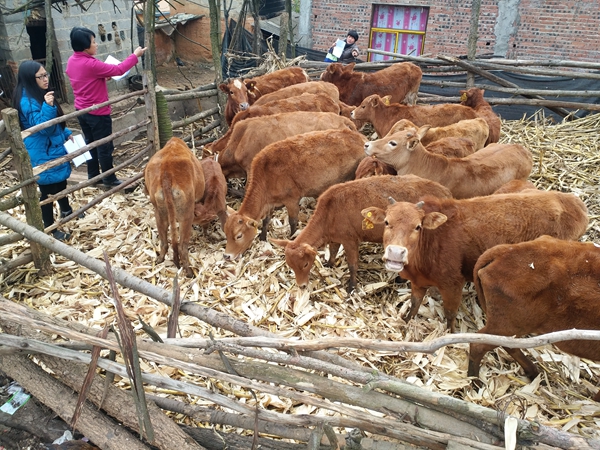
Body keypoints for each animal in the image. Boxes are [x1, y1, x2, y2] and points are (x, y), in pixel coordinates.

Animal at [144, 137, 205, 277]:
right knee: (182, 247)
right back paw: (189, 272)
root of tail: (166, 174)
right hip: (186, 215)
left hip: (159, 212)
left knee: (164, 242)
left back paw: (160, 259)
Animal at [224, 129, 368, 260]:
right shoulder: (270, 203)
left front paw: (292, 237)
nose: (226, 256)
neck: (266, 175)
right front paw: (263, 237)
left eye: (239, 236)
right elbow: (266, 220)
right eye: (226, 233)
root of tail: (360, 137)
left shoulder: (292, 199)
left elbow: (293, 221)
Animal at [271, 175, 452, 292]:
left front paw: (351, 287)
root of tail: (446, 191)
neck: (329, 212)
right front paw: (329, 265)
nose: (301, 285)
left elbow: (352, 264)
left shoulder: (350, 240)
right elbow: (333, 251)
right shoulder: (335, 237)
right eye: (290, 265)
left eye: (305, 264)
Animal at [360, 192, 589, 332]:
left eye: (418, 226)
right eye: (386, 222)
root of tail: (572, 200)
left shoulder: (453, 284)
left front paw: (449, 335)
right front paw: (406, 322)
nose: (396, 253)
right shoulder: (418, 282)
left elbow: (450, 313)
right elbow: (414, 305)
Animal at [468, 235, 600, 401]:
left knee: (508, 345)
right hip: (509, 324)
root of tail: (504, 250)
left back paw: (533, 372)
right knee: (478, 344)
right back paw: (474, 382)